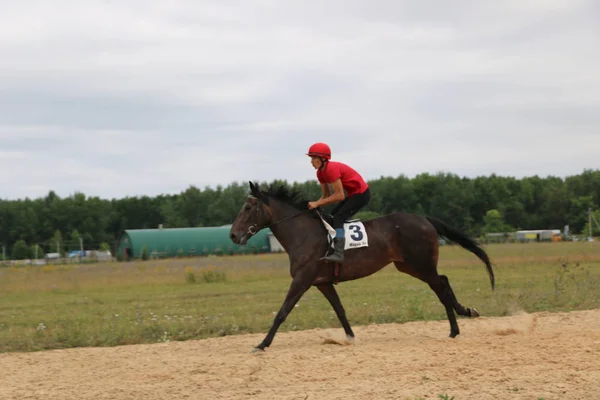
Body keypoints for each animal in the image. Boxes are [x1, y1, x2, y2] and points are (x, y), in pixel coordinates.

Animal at [227, 180, 494, 352]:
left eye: (248, 208)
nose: (233, 235)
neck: (302, 233)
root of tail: (424, 218)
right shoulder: (322, 283)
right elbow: (340, 310)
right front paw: (350, 337)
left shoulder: (302, 279)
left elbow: (282, 312)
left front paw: (262, 344)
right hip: (408, 266)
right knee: (443, 281)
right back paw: (462, 317)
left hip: (421, 263)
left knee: (440, 286)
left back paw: (457, 325)